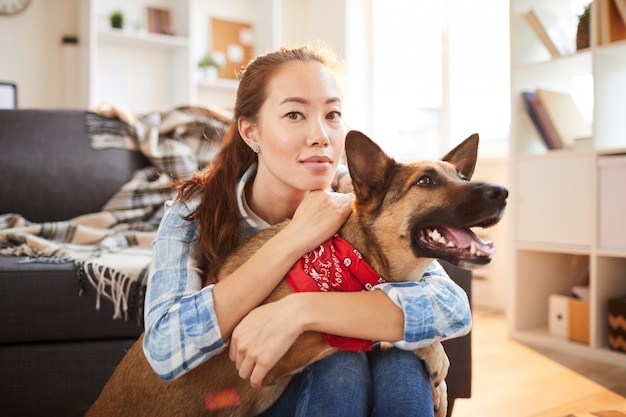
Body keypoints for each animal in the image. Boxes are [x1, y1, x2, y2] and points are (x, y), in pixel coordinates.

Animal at [86, 130, 508, 416]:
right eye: (426, 181)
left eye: (463, 178)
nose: (502, 192)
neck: (354, 257)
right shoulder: (281, 350)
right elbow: (352, 336)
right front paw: (434, 361)